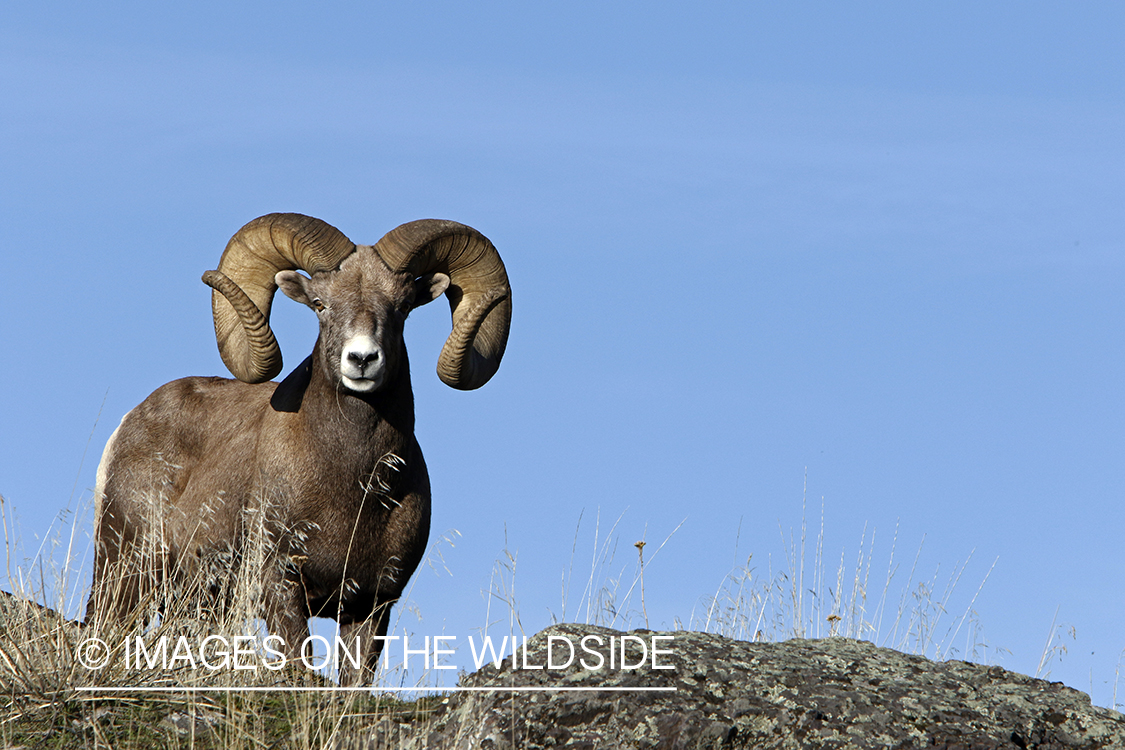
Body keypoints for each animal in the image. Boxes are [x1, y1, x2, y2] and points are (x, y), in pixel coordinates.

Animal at [87, 213, 510, 683]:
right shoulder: (281, 587)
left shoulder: (371, 606)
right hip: (126, 575)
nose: (362, 360)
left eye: (401, 308)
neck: (355, 487)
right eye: (321, 305)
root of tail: (129, 424)